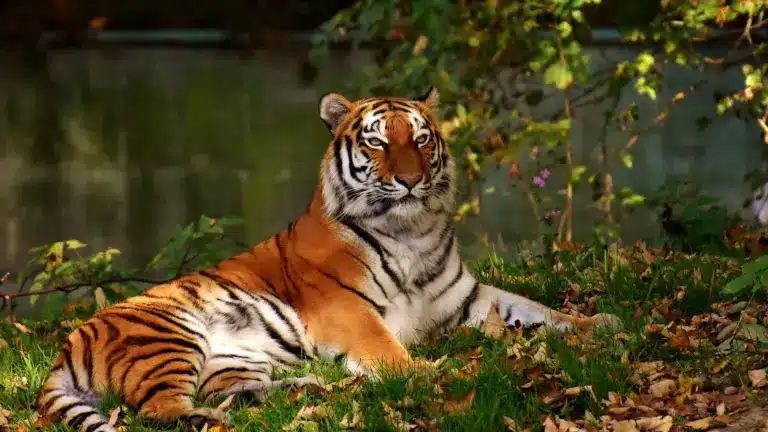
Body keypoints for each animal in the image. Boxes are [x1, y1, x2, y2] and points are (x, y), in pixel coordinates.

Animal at [35, 87, 618, 432]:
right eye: (378, 143)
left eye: (420, 139)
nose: (411, 180)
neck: (413, 232)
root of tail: (66, 345)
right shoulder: (347, 309)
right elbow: (387, 350)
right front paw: (427, 371)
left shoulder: (468, 297)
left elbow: (537, 309)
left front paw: (600, 322)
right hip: (168, 335)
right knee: (160, 410)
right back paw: (207, 418)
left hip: (234, 357)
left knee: (226, 390)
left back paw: (308, 387)